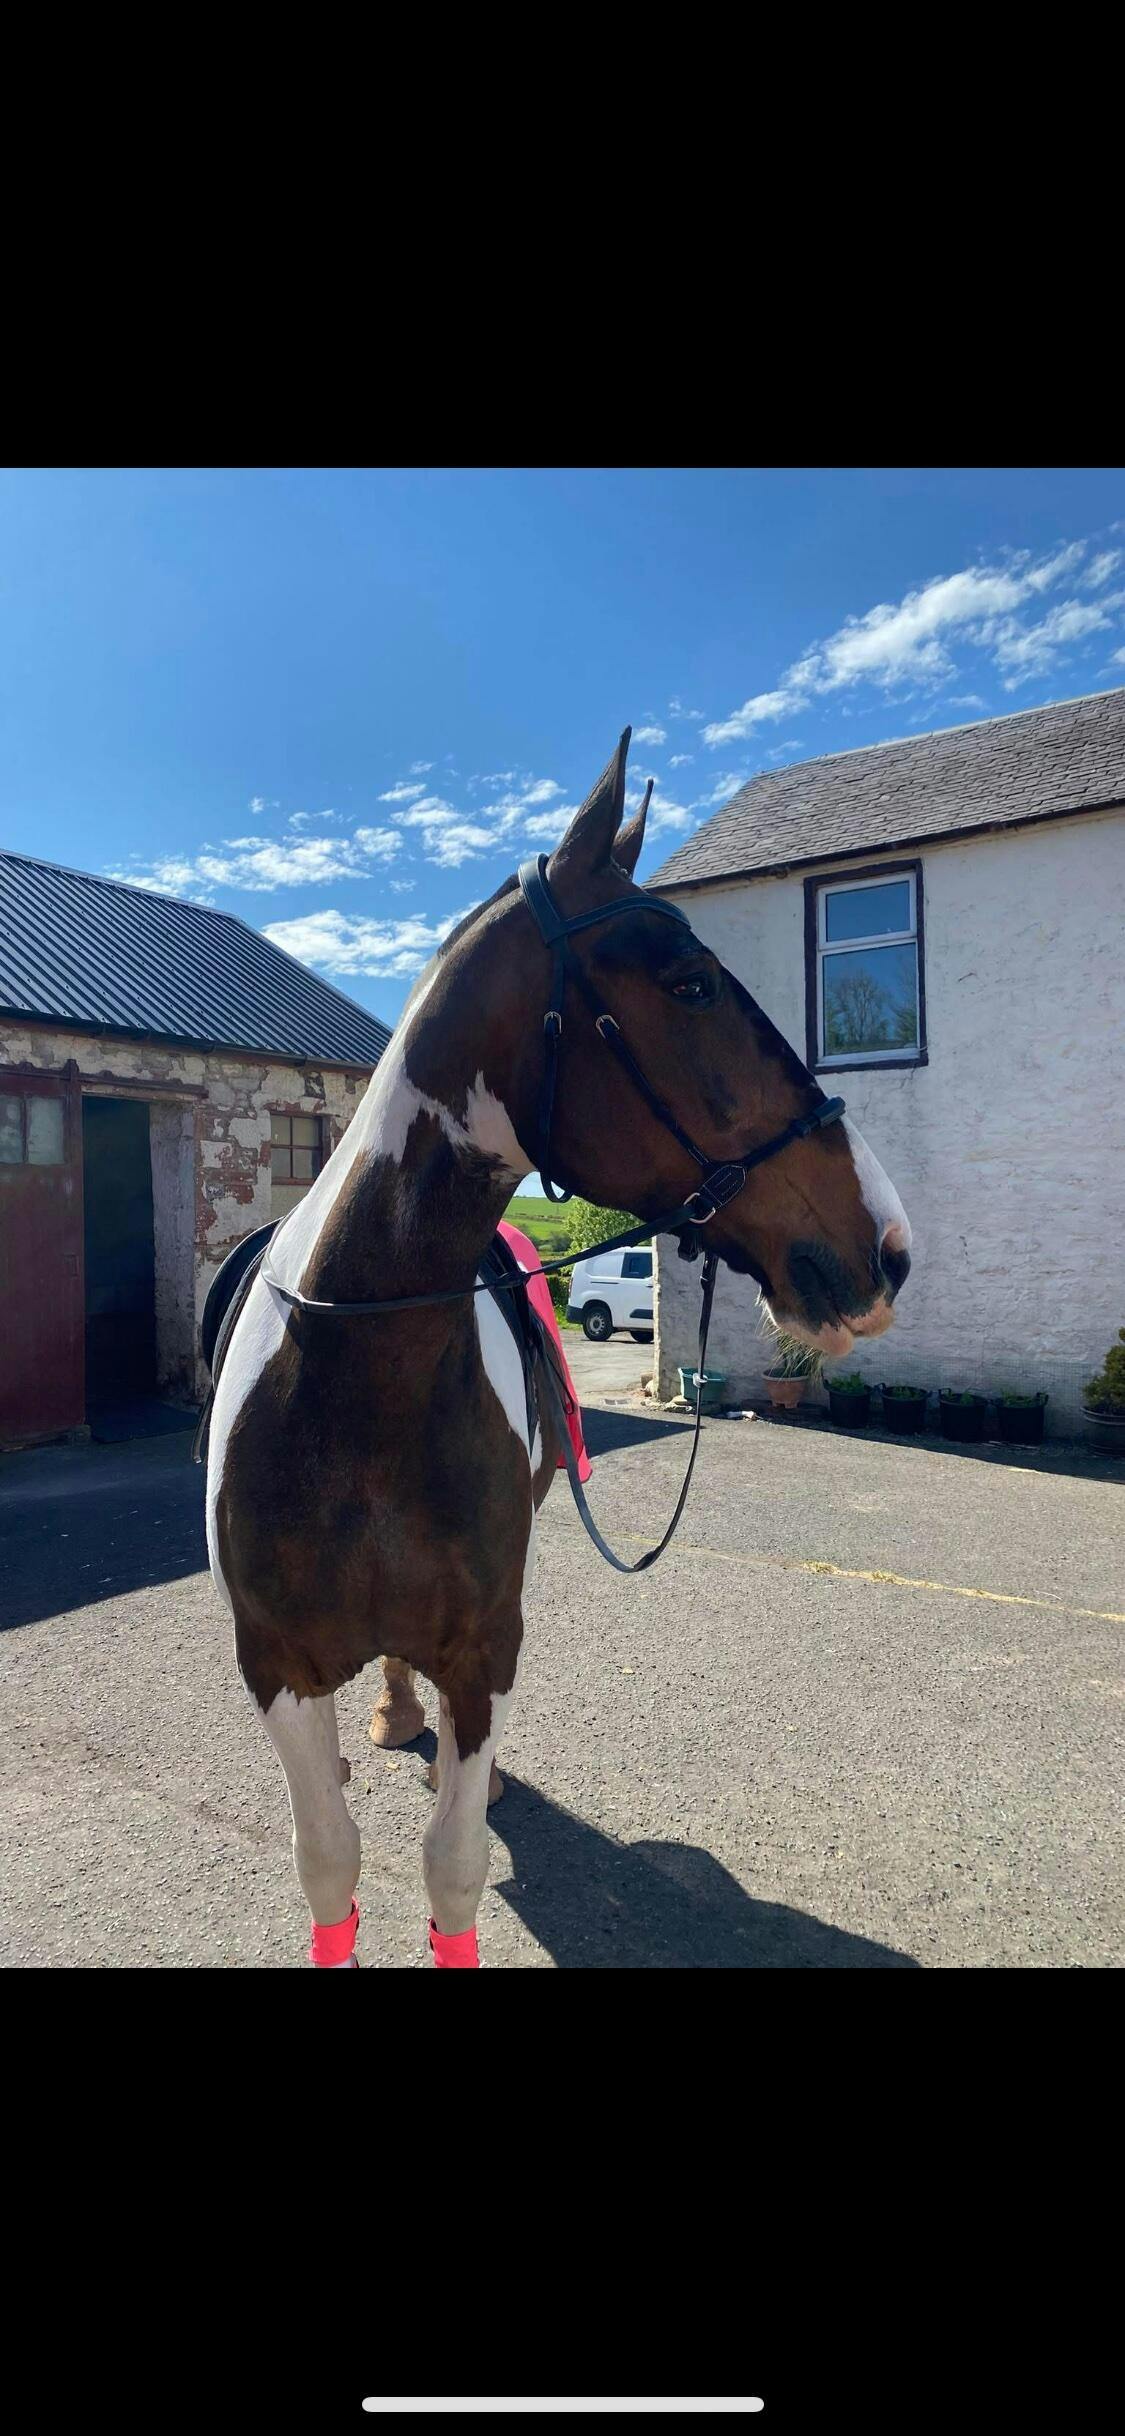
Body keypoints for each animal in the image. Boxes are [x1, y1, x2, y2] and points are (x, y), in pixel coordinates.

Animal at [205, 730, 912, 1967]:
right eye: (687, 983)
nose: (886, 1240)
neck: (356, 1377)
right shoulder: (276, 1665)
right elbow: (329, 1863)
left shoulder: (486, 1646)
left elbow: (453, 1868)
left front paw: (464, 1796)